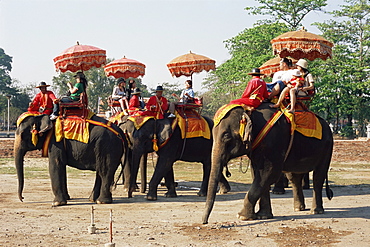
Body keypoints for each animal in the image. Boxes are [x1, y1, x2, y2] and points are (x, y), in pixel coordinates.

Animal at [204, 103, 334, 224]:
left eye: (226, 136)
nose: (204, 221)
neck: (251, 112)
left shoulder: (274, 142)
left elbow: (269, 173)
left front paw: (242, 216)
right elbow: (257, 175)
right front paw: (263, 216)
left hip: (327, 148)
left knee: (318, 176)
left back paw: (316, 211)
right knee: (294, 177)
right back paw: (298, 208)